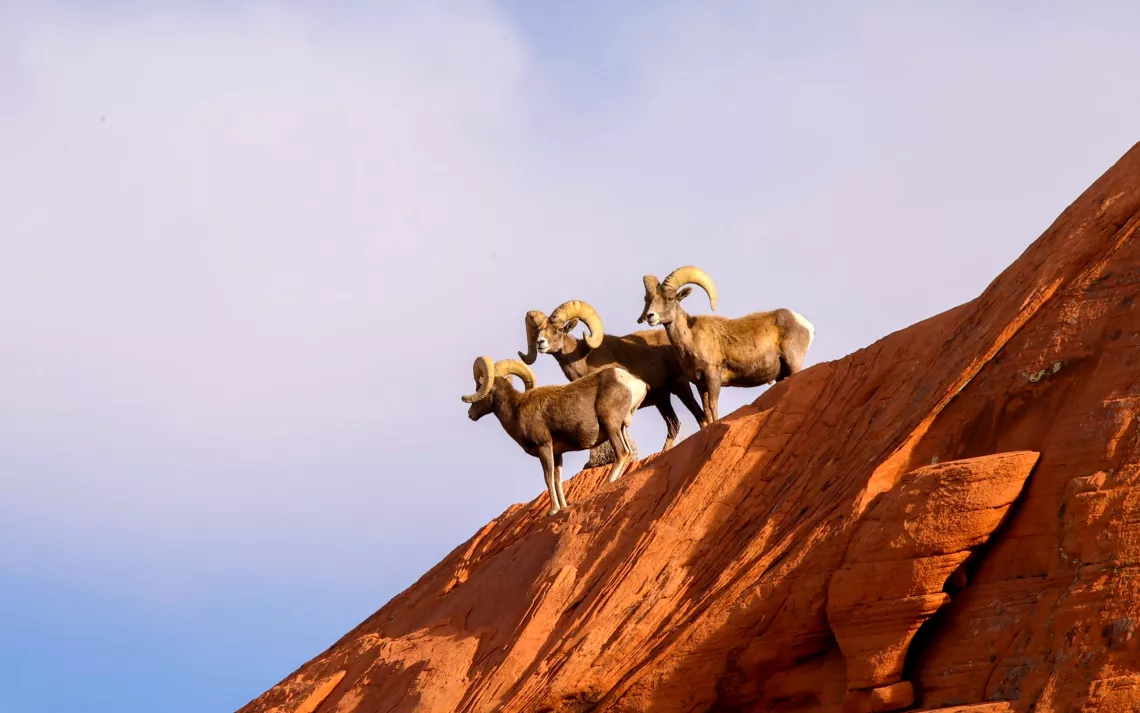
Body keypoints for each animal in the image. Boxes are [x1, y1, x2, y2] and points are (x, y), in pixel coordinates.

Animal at [462, 357, 648, 516]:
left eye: (479, 388)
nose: (470, 414)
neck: (516, 410)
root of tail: (634, 383)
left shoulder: (544, 447)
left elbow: (548, 477)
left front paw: (552, 510)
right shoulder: (557, 454)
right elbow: (558, 479)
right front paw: (562, 507)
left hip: (611, 425)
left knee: (621, 453)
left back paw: (607, 483)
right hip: (620, 428)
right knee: (628, 453)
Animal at [518, 300, 707, 458]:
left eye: (558, 329)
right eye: (539, 331)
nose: (540, 343)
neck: (582, 358)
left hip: (680, 387)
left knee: (699, 416)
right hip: (662, 400)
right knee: (673, 425)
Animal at [637, 265, 815, 424]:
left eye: (670, 298)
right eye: (649, 300)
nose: (650, 316)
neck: (691, 339)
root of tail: (805, 324)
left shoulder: (712, 376)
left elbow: (713, 406)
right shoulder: (701, 384)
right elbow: (706, 412)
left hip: (793, 363)